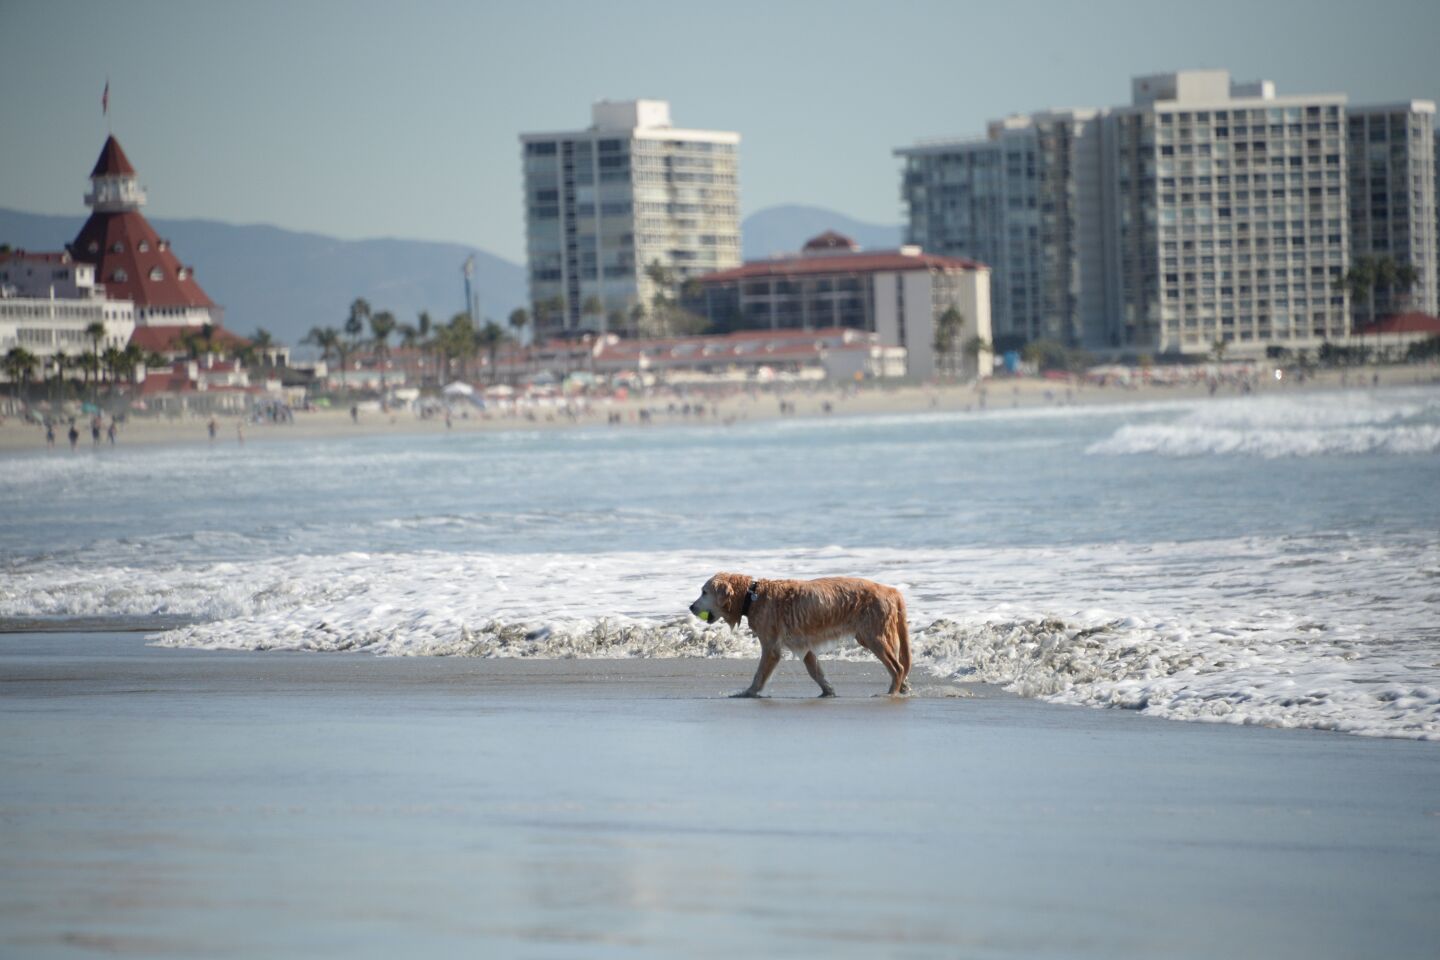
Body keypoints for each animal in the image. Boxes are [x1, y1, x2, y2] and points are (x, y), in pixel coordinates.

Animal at [688, 569, 910, 699]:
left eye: (704, 592)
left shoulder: (771, 647)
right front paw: (828, 691)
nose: (690, 607)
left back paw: (891, 693)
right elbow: (816, 671)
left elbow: (759, 675)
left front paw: (748, 692)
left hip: (873, 636)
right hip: (872, 635)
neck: (752, 596)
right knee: (899, 666)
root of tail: (891, 591)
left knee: (897, 667)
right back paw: (903, 688)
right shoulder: (804, 645)